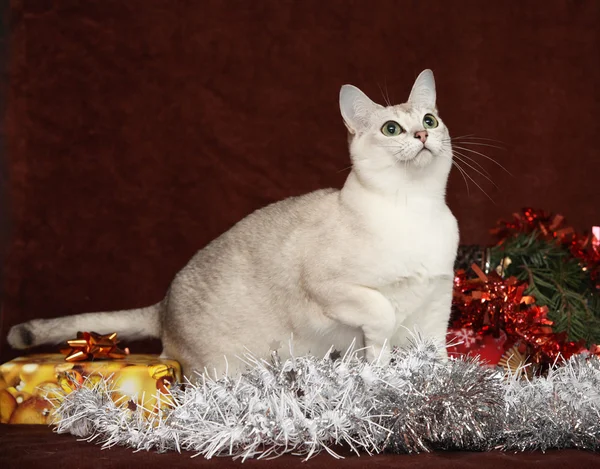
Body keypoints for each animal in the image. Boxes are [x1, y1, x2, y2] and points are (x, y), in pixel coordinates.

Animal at [5, 68, 460, 376]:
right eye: (392, 128)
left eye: (430, 120)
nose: (421, 136)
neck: (417, 208)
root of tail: (162, 306)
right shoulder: (331, 287)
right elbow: (382, 315)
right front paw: (380, 365)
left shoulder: (438, 303)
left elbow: (436, 354)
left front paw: (437, 384)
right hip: (227, 366)